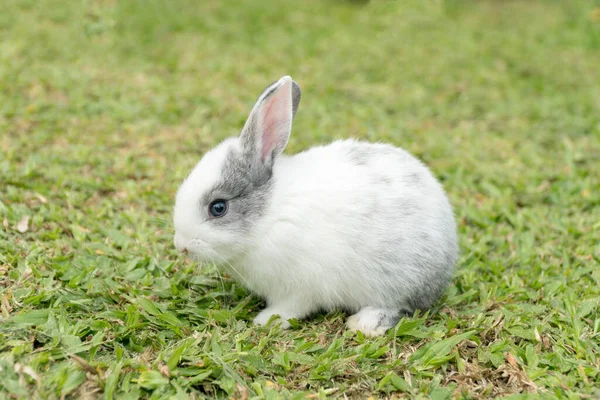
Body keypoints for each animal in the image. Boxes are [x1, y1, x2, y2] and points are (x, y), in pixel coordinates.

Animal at [173, 76, 460, 338]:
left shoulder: (301, 288)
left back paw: (363, 324)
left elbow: (292, 307)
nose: (181, 245)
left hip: (397, 281)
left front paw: (267, 320)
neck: (270, 215)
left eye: (218, 208)